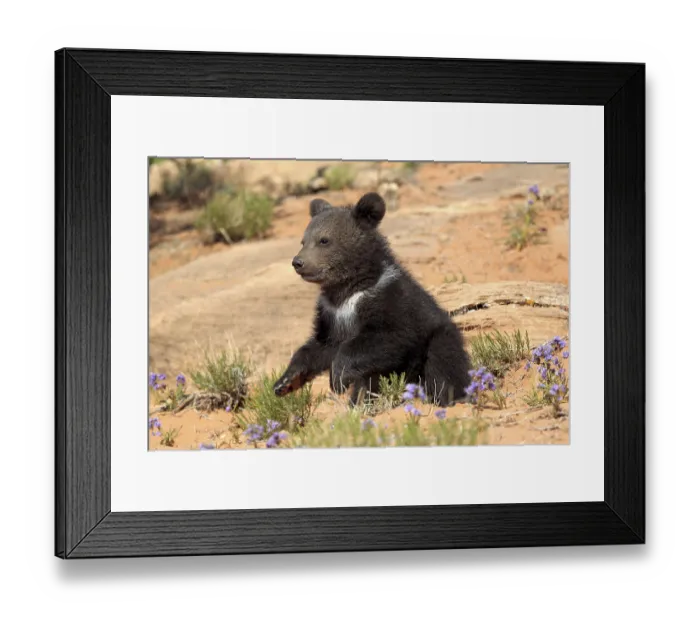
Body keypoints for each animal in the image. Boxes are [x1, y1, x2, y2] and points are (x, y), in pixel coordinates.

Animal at [273, 192, 471, 407]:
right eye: (303, 241)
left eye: (324, 240)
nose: (298, 262)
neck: (347, 290)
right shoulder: (330, 315)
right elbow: (319, 346)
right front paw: (285, 381)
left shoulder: (389, 301)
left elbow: (389, 337)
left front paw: (338, 378)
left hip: (437, 338)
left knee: (442, 362)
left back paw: (446, 398)